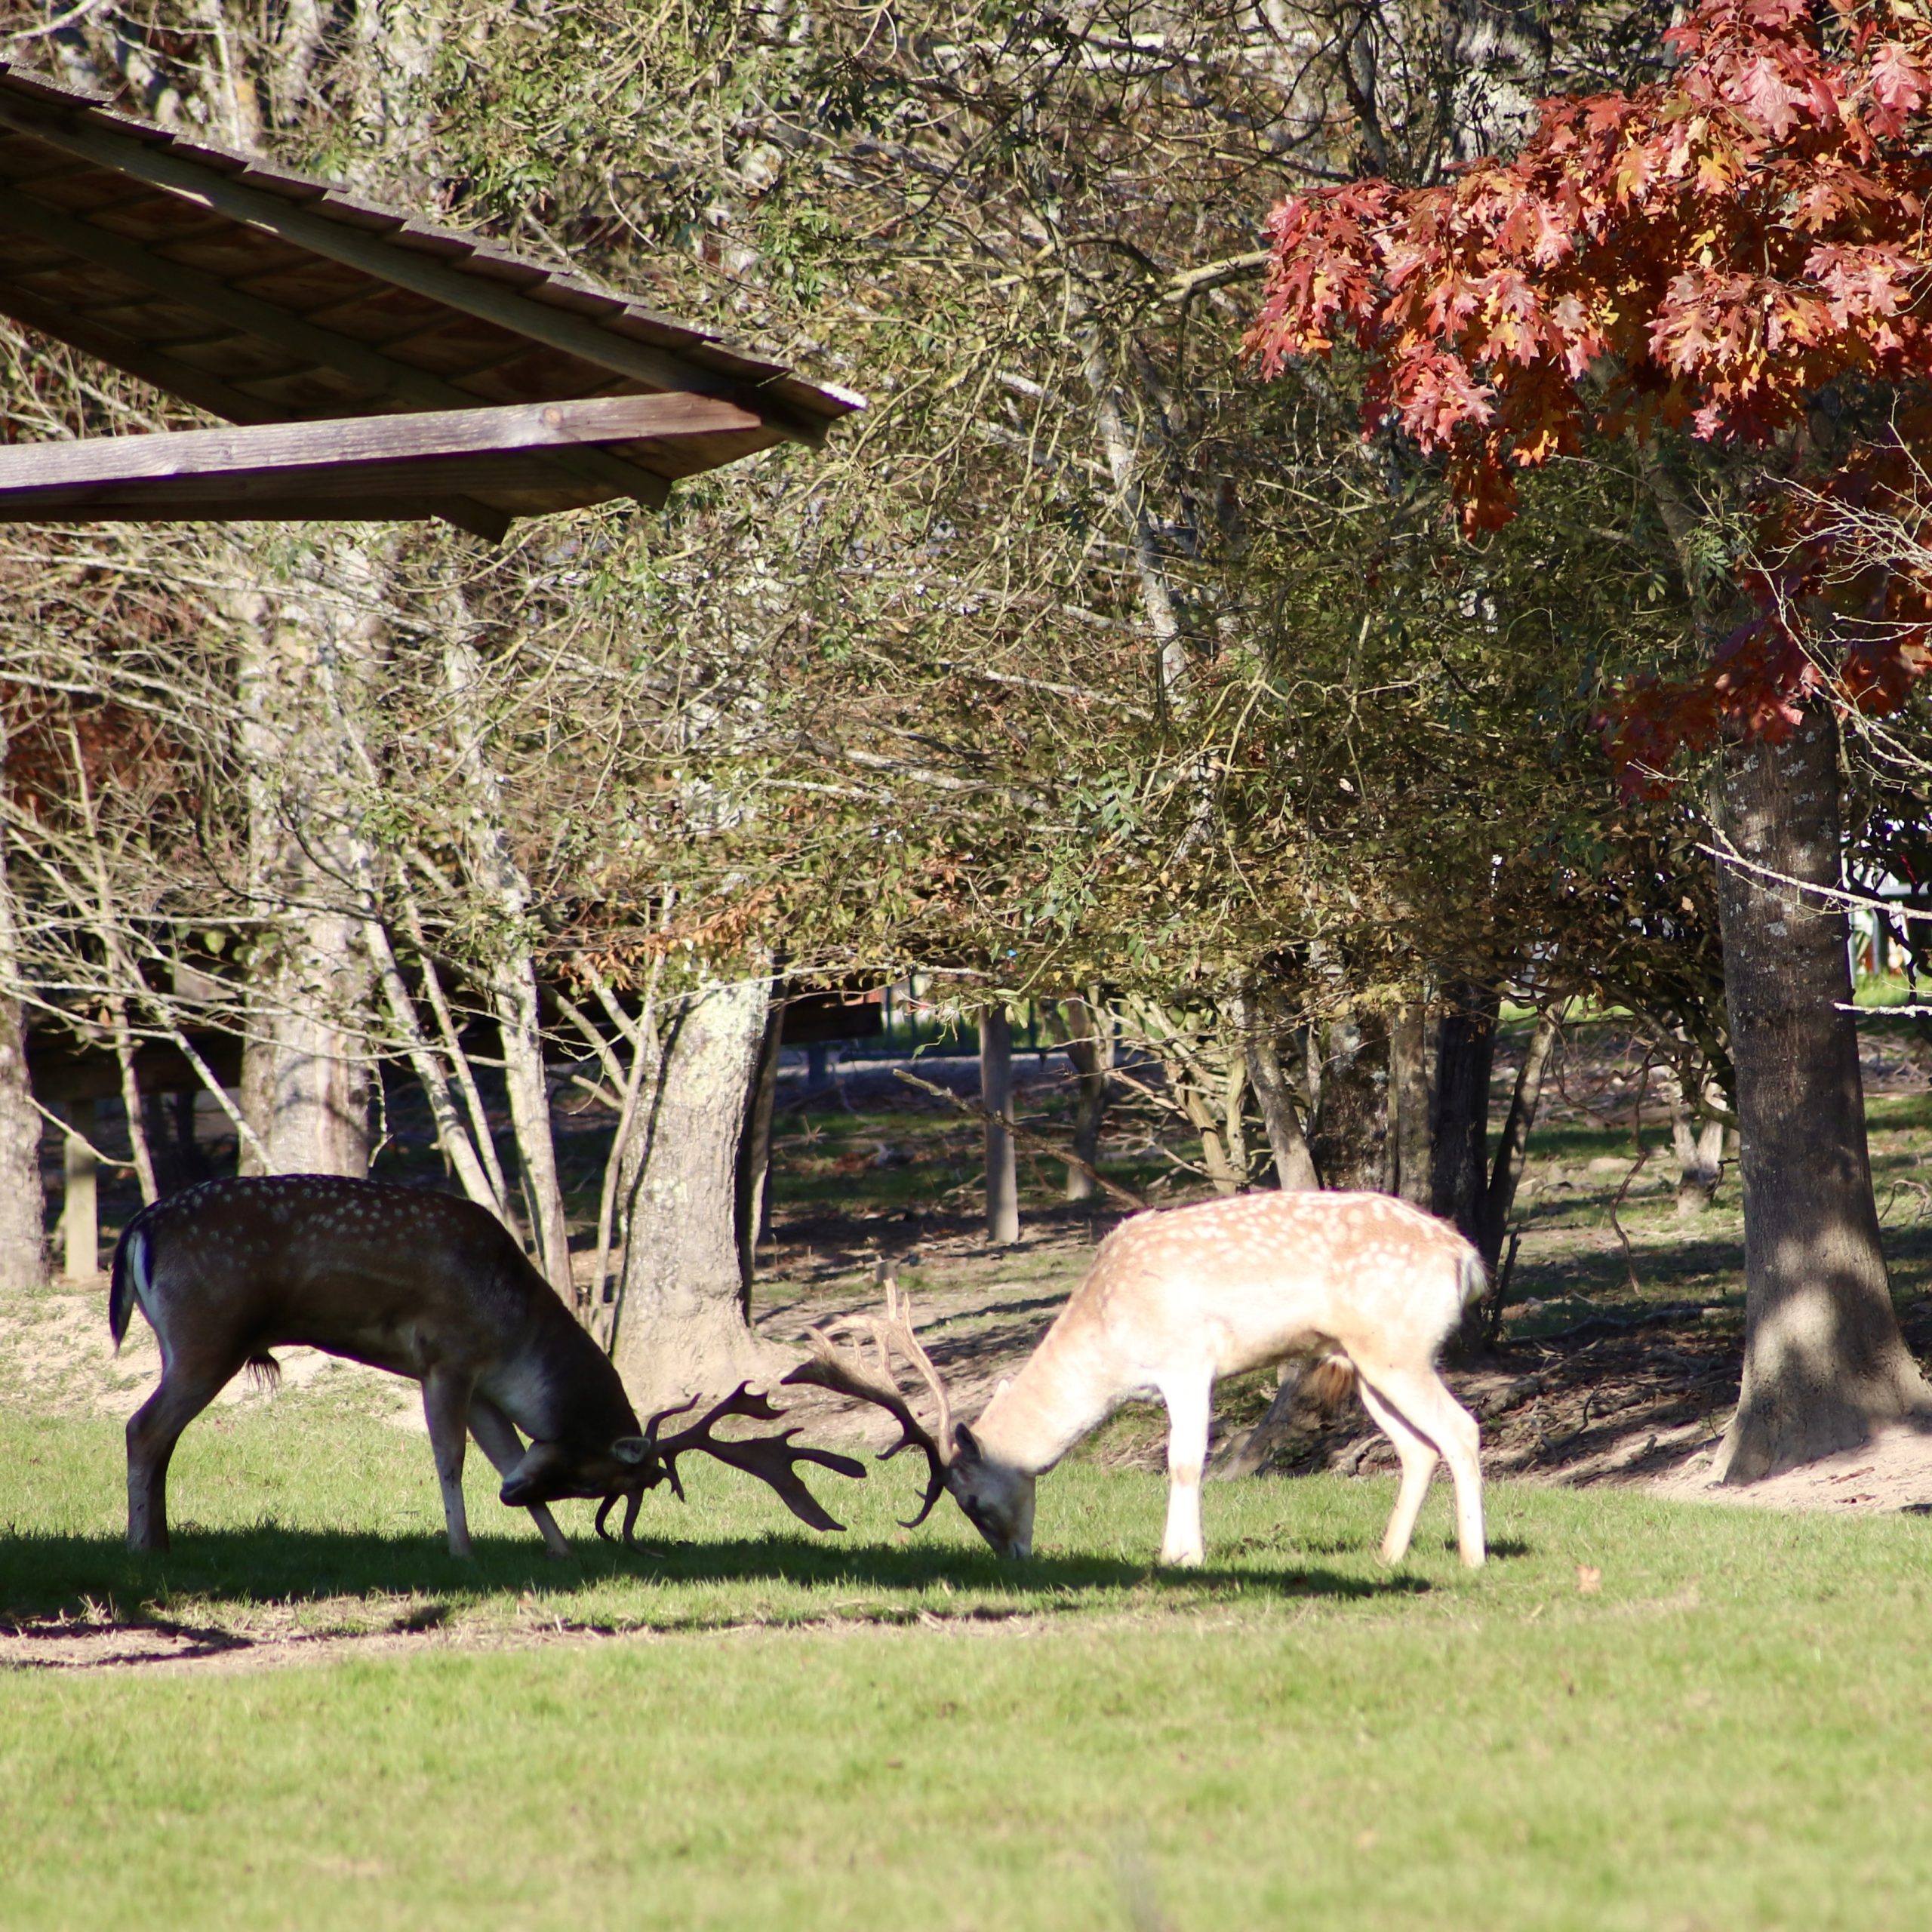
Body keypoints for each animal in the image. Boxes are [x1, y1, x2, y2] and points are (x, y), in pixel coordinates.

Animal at [109, 1174, 865, 1557]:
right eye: (599, 1478)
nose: (514, 1500)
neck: (515, 1334)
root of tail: (136, 1230)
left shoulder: (480, 1385)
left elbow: (502, 1450)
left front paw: (559, 1553)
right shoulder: (444, 1356)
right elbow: (450, 1458)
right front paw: (463, 1551)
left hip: (190, 1344)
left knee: (161, 1435)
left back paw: (164, 1541)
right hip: (208, 1334)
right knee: (142, 1428)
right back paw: (143, 1550)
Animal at [789, 1190, 1487, 1569]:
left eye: (971, 1500)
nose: (1014, 1559)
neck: (1111, 1344)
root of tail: (1467, 1257)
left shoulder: (1188, 1363)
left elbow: (1183, 1461)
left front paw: (1181, 1555)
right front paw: (1178, 1551)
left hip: (1398, 1346)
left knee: (1461, 1429)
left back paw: (1472, 1556)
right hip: (1367, 1361)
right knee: (1418, 1448)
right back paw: (1387, 1556)